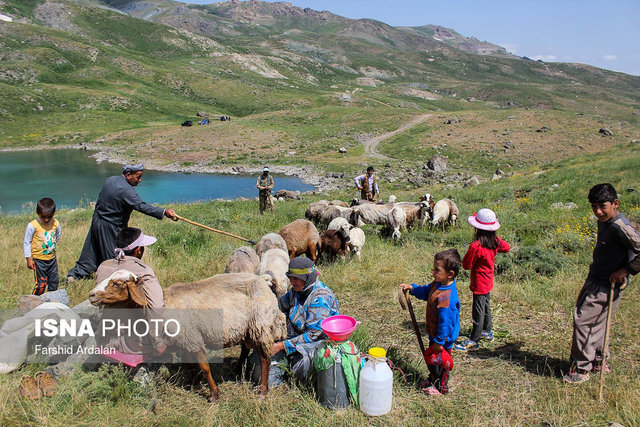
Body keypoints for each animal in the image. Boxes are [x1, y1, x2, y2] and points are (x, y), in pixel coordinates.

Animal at [89, 272, 286, 402]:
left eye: (117, 284)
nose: (91, 295)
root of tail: (264, 281)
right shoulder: (185, 341)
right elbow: (191, 364)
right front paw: (195, 385)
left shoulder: (193, 338)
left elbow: (204, 367)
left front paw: (214, 395)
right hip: (247, 328)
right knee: (245, 348)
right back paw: (237, 369)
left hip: (261, 324)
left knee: (264, 358)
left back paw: (262, 391)